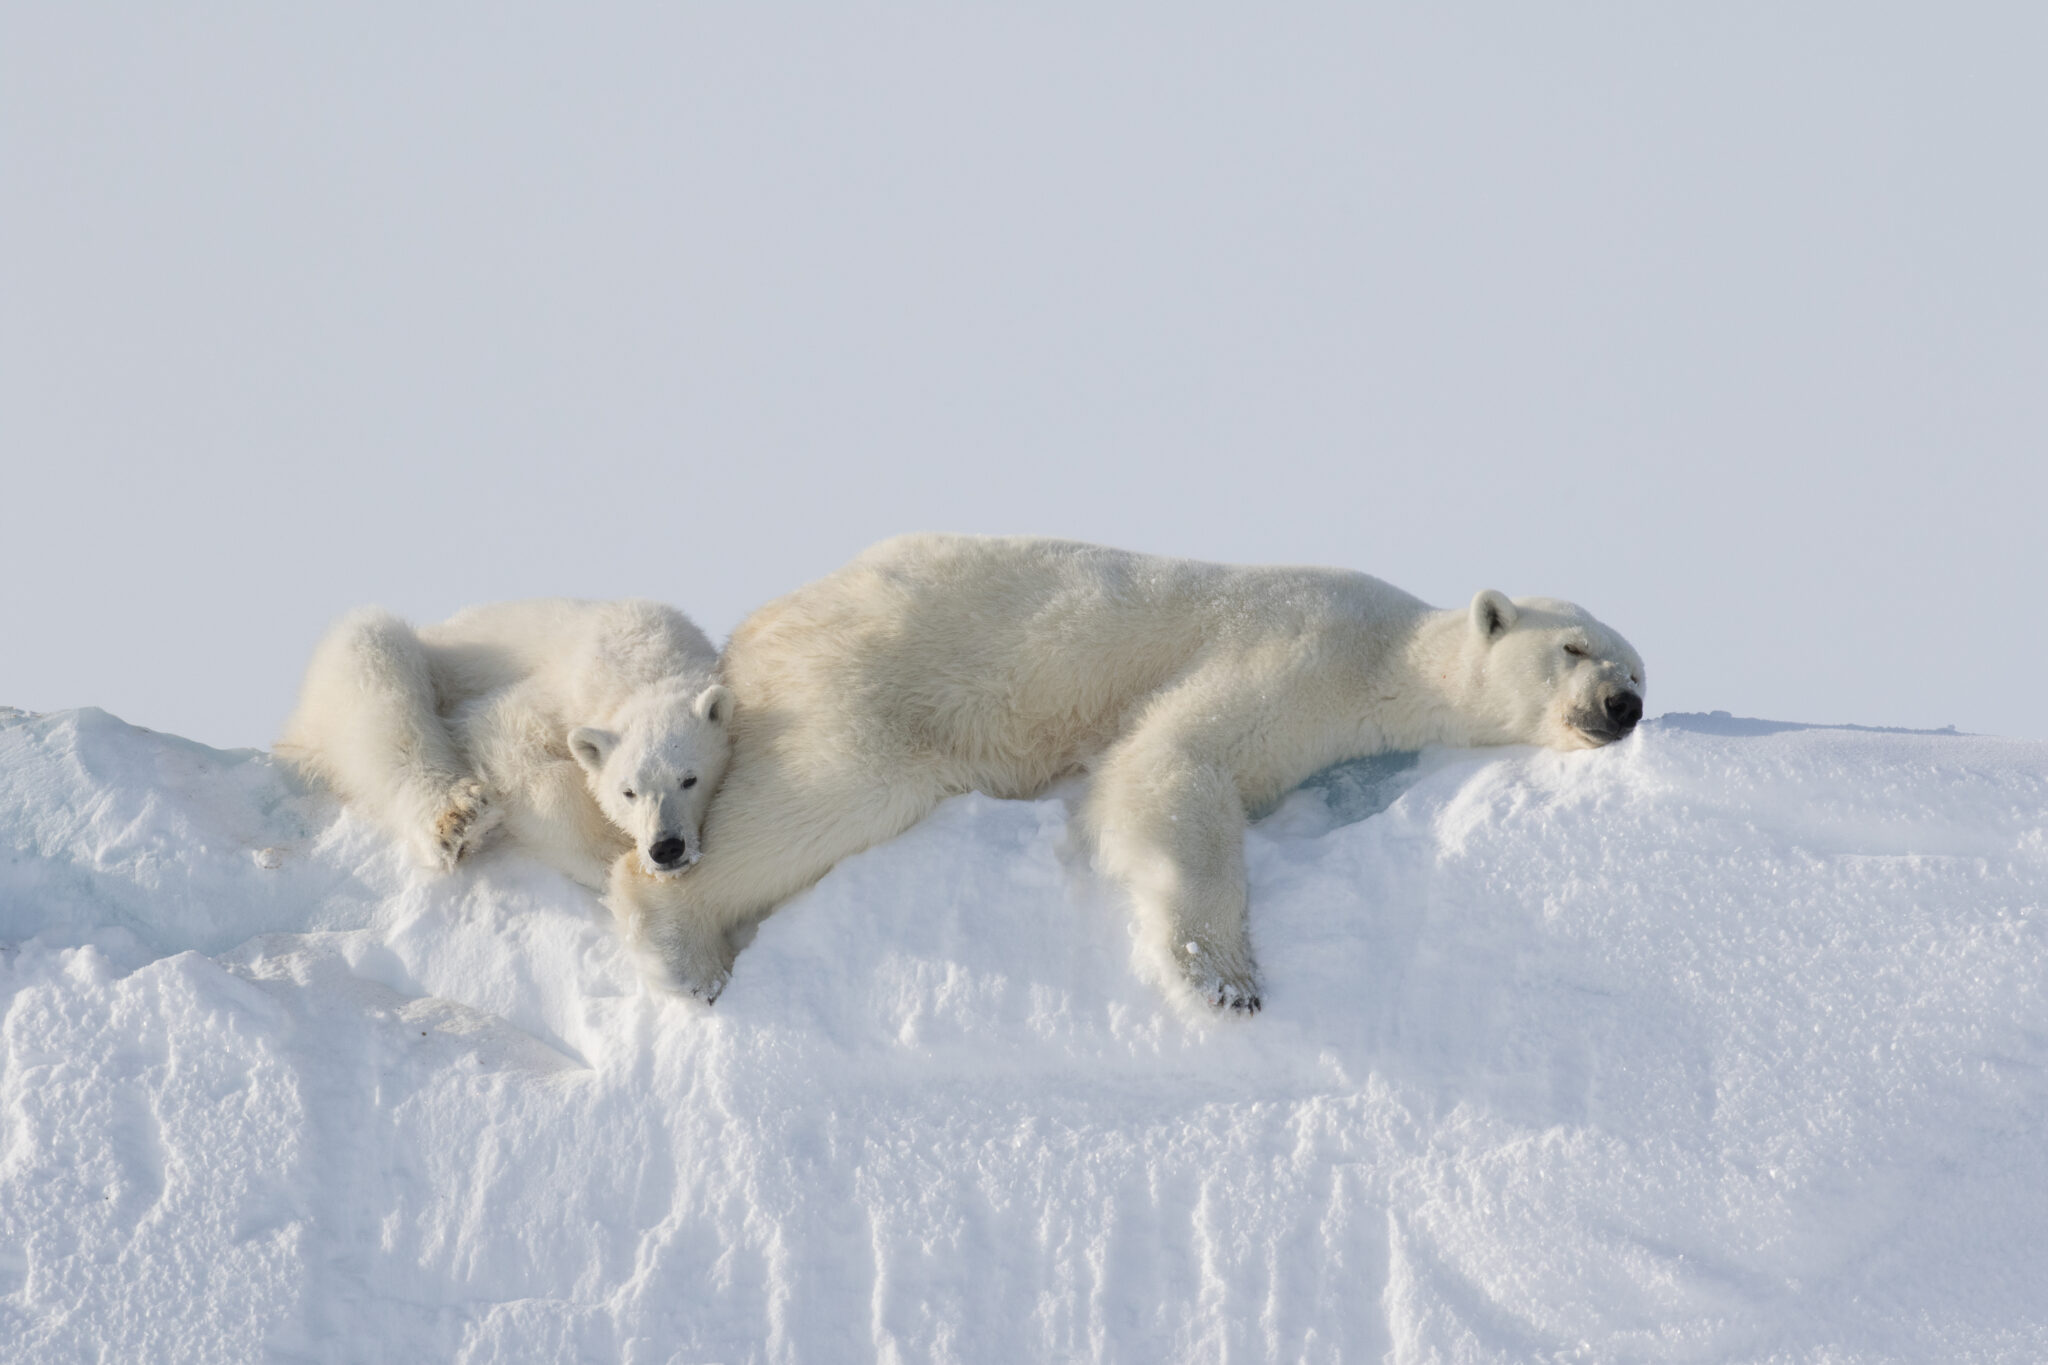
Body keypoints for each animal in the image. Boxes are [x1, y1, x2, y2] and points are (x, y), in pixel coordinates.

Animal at [276, 601, 733, 896]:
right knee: (376, 668)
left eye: (690, 779)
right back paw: (460, 818)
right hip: (403, 666)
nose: (665, 848)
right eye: (628, 792)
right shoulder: (556, 696)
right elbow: (500, 736)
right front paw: (609, 856)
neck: (646, 661)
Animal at [618, 536, 1646, 1015]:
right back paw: (683, 943)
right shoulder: (1295, 650)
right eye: (1574, 645)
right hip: (857, 682)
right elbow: (1175, 758)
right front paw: (1226, 978)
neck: (1385, 652)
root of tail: (753, 630)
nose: (1621, 707)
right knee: (828, 789)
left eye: (1638, 668)